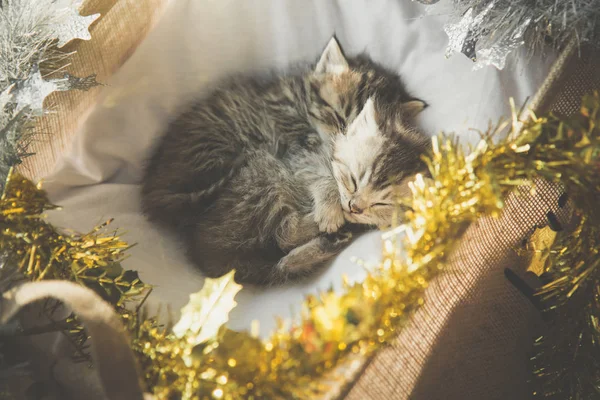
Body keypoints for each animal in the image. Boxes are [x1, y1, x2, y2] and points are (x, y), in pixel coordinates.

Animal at [141, 36, 428, 282]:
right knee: (283, 236)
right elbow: (323, 175)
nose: (338, 140)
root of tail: (155, 193)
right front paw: (331, 209)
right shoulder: (294, 146)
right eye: (338, 117)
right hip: (257, 166)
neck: (298, 96)